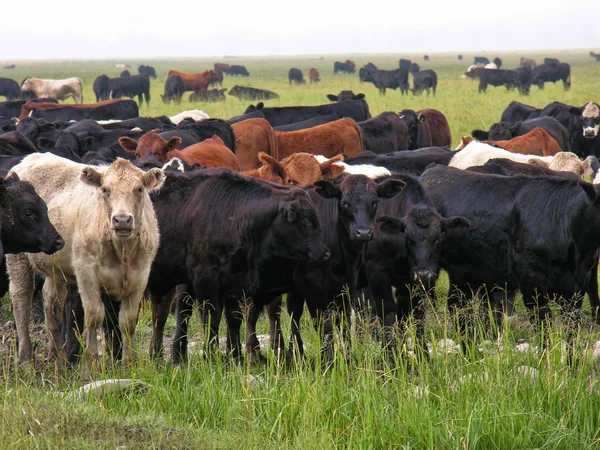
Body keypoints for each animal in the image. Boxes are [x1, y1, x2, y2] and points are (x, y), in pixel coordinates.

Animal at [6, 155, 164, 376]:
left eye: (139, 189)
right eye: (105, 189)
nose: (122, 219)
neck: (122, 250)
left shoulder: (141, 275)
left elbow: (128, 321)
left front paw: (129, 365)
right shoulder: (86, 273)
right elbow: (94, 316)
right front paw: (90, 366)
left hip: (56, 270)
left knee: (52, 303)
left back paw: (57, 357)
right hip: (18, 259)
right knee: (21, 300)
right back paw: (27, 361)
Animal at [147, 169, 330, 362]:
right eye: (306, 222)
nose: (325, 253)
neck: (236, 216)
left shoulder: (235, 281)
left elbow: (234, 319)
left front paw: (236, 357)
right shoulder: (205, 278)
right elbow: (212, 318)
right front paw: (211, 356)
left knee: (163, 314)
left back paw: (162, 357)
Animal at [420, 165, 600, 342]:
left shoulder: (577, 287)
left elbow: (572, 332)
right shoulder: (531, 283)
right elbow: (543, 326)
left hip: (462, 272)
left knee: (457, 305)